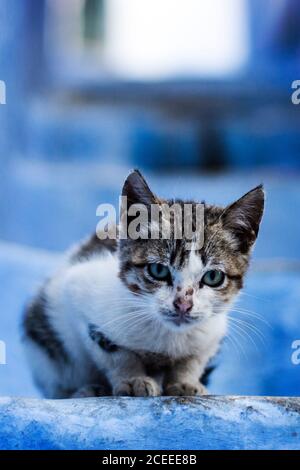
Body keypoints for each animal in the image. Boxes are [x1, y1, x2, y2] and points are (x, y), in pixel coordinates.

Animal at [22, 169, 264, 396]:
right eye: (158, 270)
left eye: (213, 277)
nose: (183, 305)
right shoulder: (78, 293)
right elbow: (116, 352)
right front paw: (133, 380)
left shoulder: (212, 332)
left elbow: (193, 359)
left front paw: (185, 382)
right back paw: (84, 391)